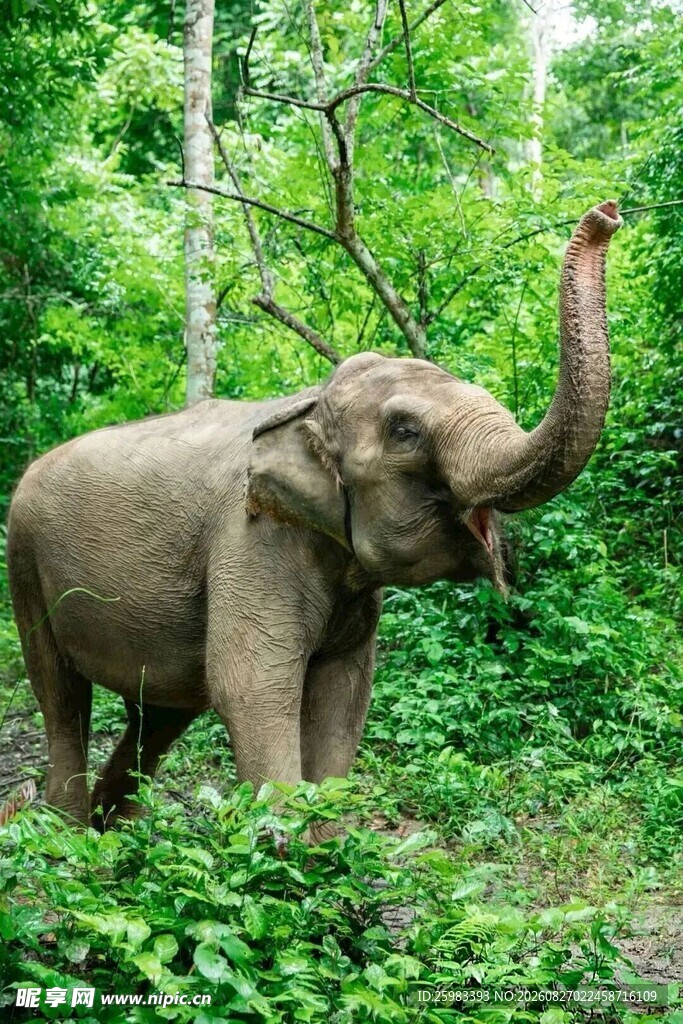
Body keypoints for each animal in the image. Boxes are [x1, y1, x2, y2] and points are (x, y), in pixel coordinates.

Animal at [6, 201, 621, 830]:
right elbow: (252, 684)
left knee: (159, 712)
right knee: (62, 697)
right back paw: (67, 833)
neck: (308, 401)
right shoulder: (252, 542)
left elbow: (345, 691)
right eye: (405, 431)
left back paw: (114, 830)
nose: (608, 212)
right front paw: (284, 841)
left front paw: (328, 837)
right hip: (24, 563)